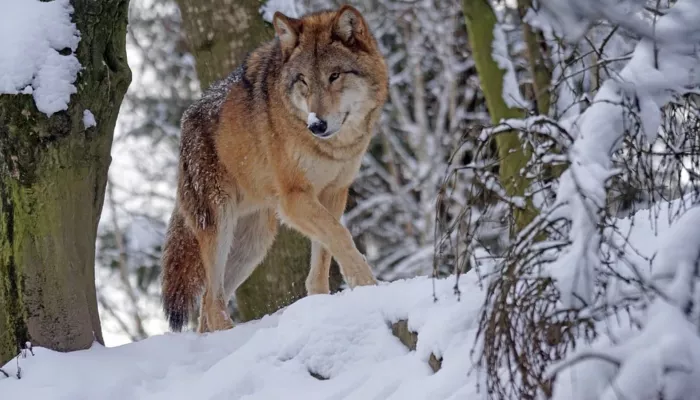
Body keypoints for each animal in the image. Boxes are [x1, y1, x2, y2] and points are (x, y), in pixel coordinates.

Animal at [160, 4, 388, 332]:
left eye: (334, 76)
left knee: (207, 305)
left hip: (253, 244)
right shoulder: (294, 199)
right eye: (303, 80)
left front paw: (322, 304)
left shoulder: (334, 193)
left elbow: (324, 255)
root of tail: (185, 122)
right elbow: (341, 236)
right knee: (212, 302)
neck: (332, 148)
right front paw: (367, 285)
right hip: (220, 226)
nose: (316, 125)